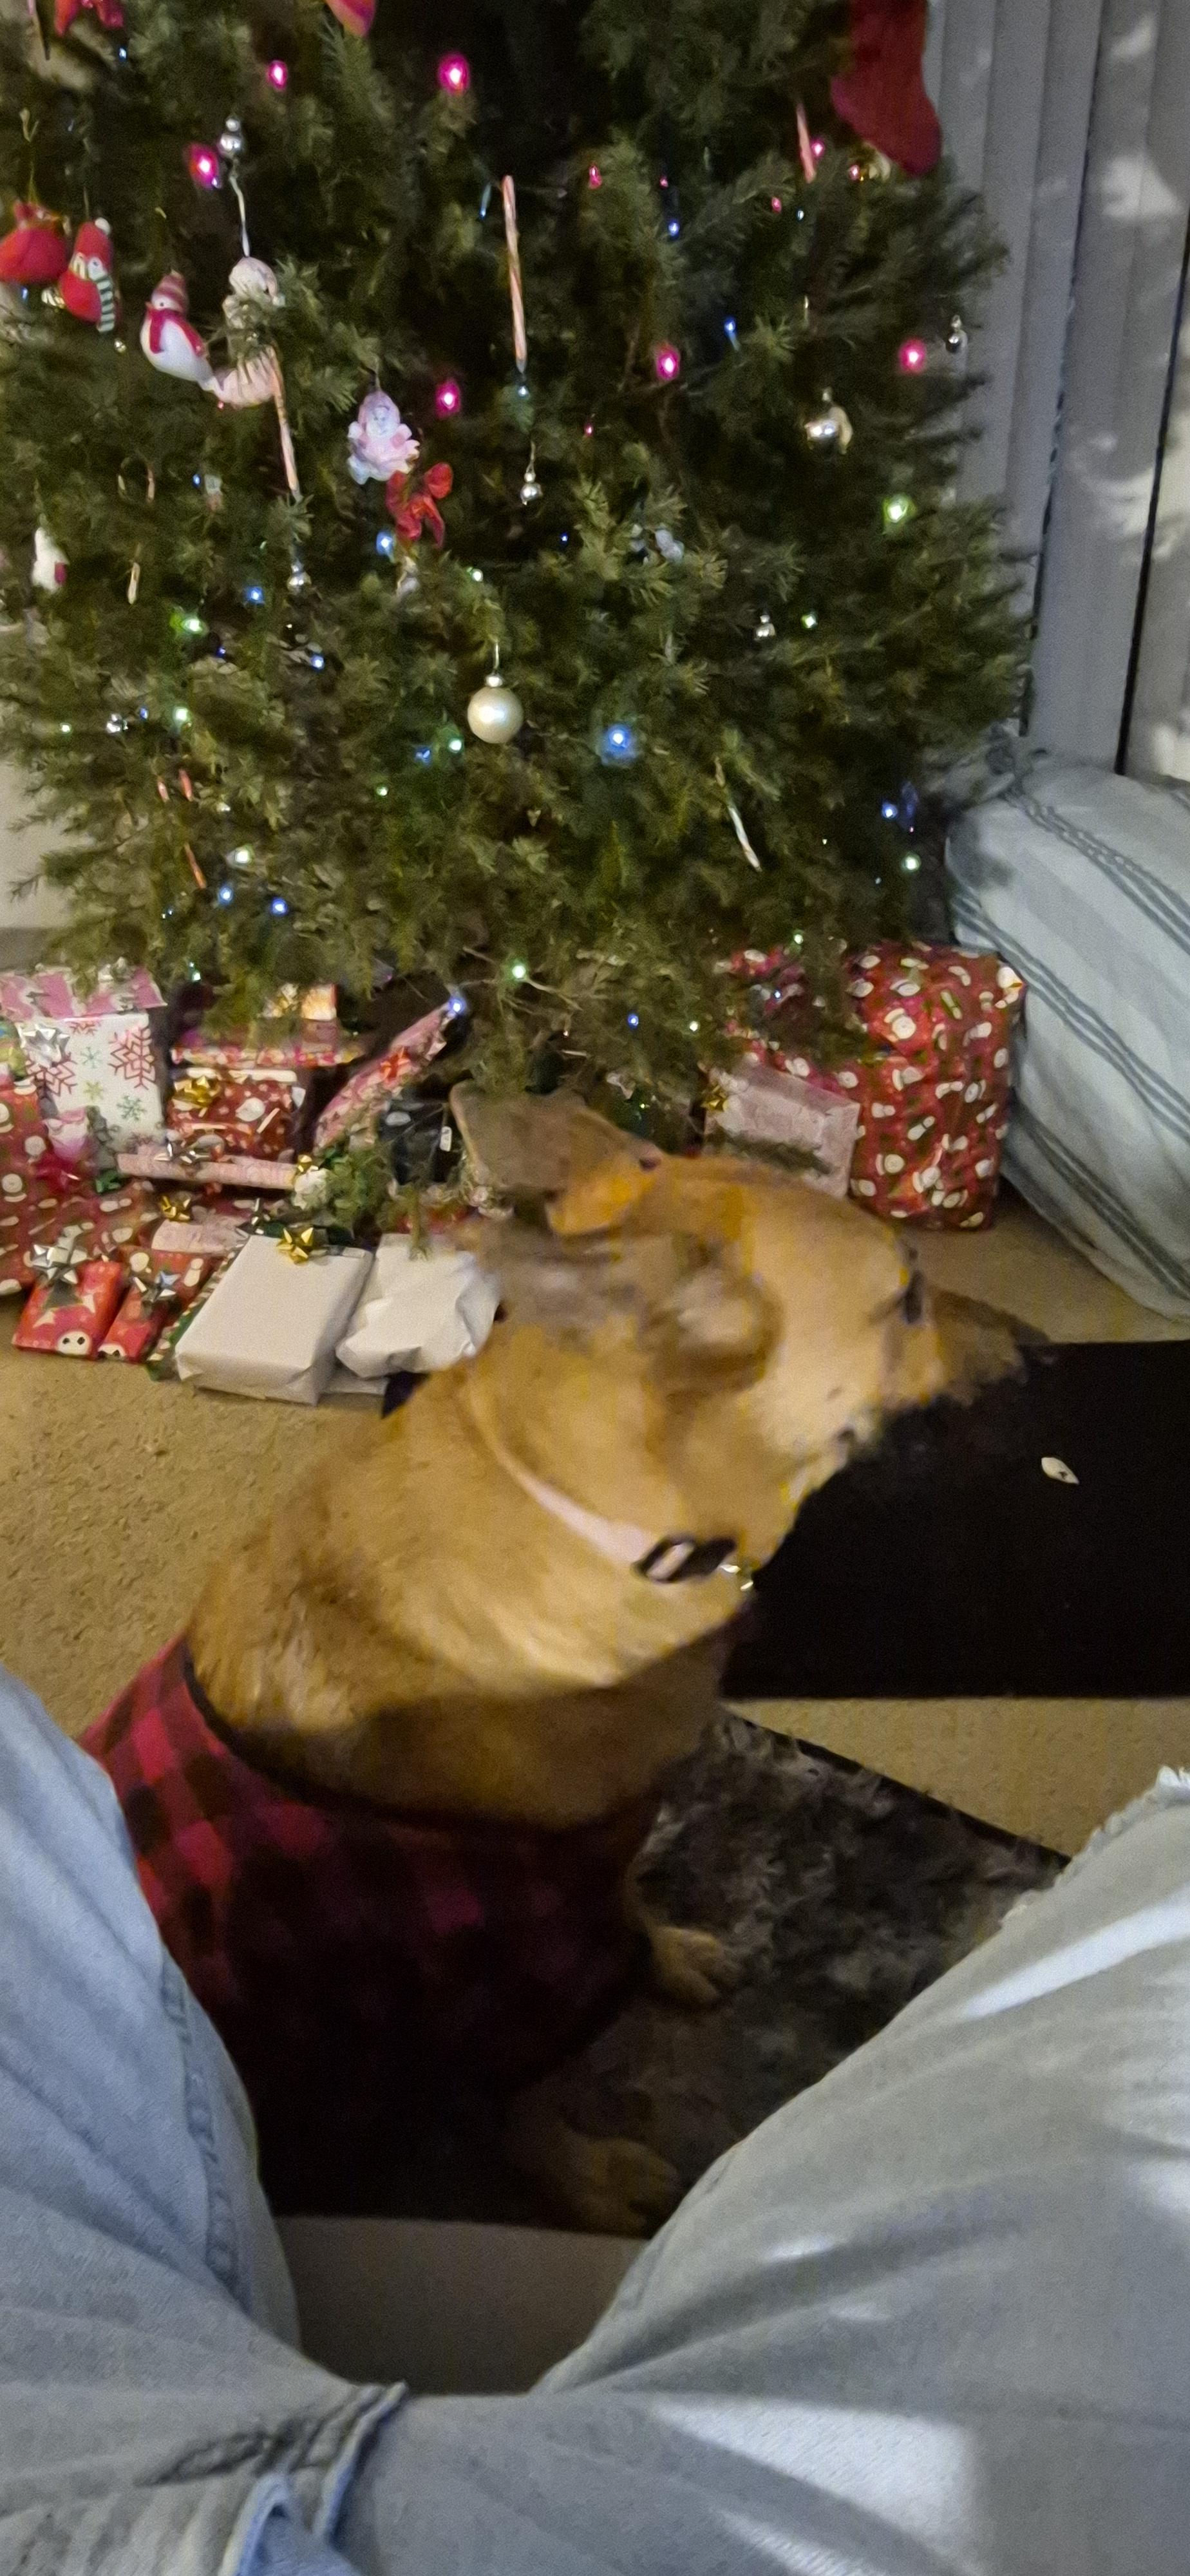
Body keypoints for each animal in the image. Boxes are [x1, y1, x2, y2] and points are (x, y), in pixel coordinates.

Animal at [82, 1091, 1018, 2231]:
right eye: (910, 1297)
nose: (1046, 1352)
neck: (577, 1506)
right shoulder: (509, 1957)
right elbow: (531, 2093)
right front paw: (582, 2175)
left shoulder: (602, 1852)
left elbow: (631, 1902)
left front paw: (666, 1953)